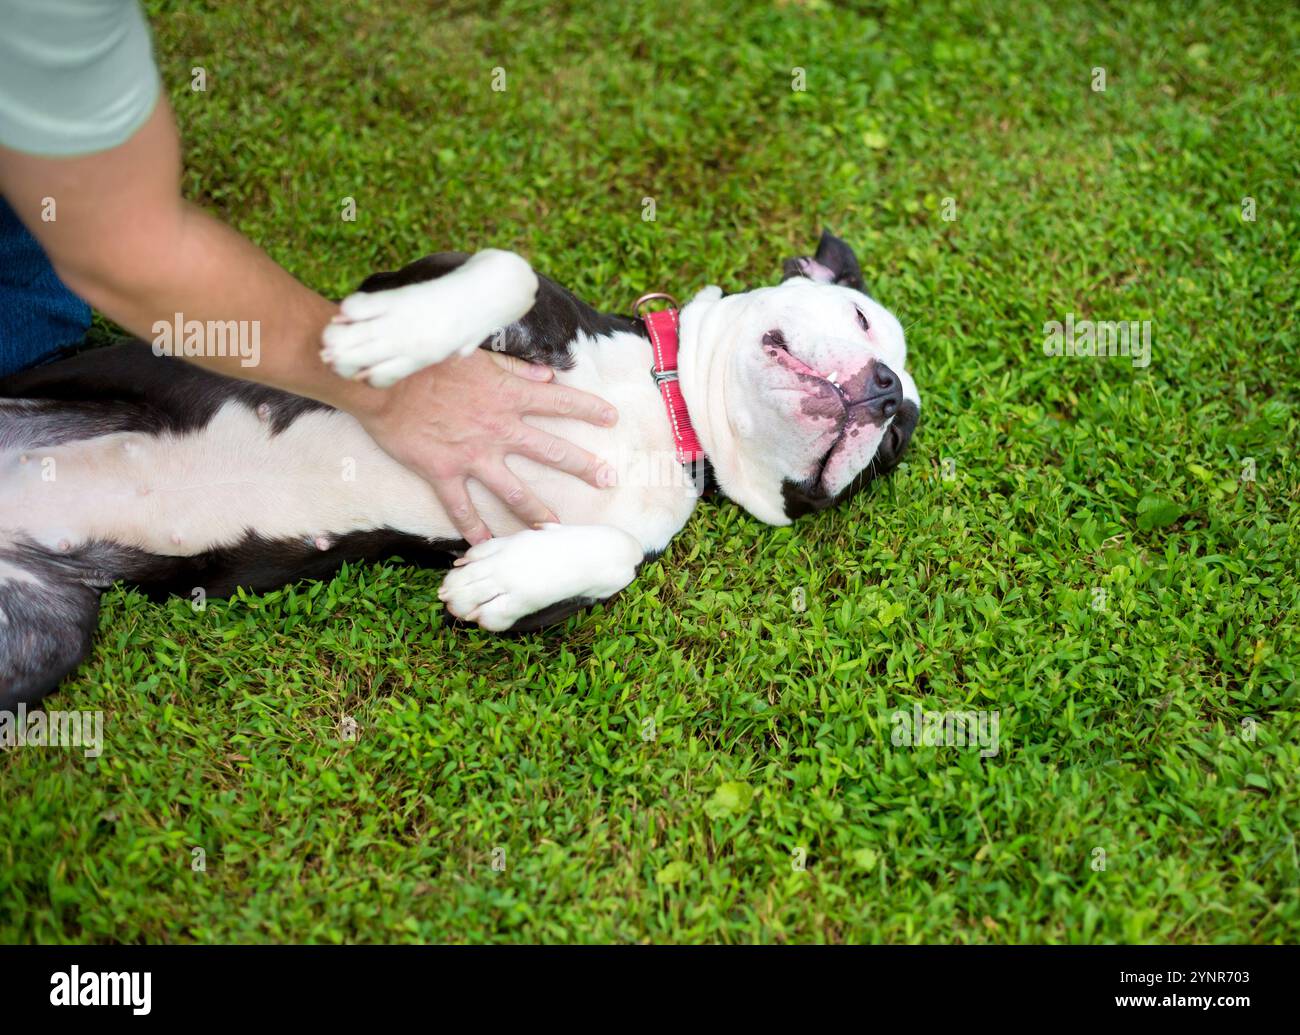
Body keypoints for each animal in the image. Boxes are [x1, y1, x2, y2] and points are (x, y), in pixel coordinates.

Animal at [0, 230, 915, 707]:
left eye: (893, 446)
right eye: (862, 317)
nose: (883, 392)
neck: (668, 413)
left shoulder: (587, 551)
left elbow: (606, 560)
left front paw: (499, 581)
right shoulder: (430, 275)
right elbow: (506, 268)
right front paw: (392, 336)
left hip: (47, 638)